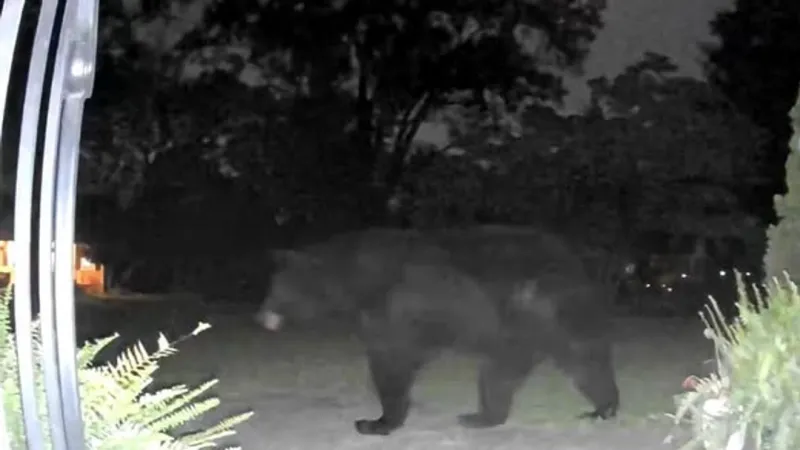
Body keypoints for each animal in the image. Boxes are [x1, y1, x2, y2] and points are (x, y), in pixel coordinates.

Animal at [254, 225, 620, 436]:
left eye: (279, 287)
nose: (261, 316)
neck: (355, 280)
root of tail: (573, 261)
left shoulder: (395, 310)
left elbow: (390, 361)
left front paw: (376, 422)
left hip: (533, 315)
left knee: (561, 360)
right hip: (533, 326)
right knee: (571, 364)